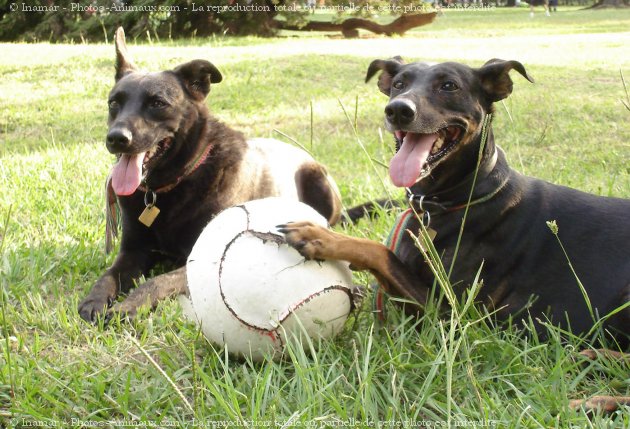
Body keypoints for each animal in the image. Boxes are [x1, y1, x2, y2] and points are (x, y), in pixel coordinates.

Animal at [80, 27, 346, 320]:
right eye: (114, 103)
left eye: (158, 103)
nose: (116, 138)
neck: (172, 184)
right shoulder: (132, 251)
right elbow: (108, 276)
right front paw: (95, 299)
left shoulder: (199, 260)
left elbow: (155, 282)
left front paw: (127, 306)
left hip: (318, 180)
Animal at [282, 57, 630, 412]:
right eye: (399, 83)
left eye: (449, 85)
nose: (398, 110)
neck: (447, 202)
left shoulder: (454, 317)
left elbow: (380, 252)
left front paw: (319, 237)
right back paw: (594, 358)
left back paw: (594, 399)